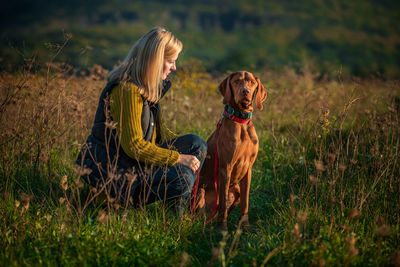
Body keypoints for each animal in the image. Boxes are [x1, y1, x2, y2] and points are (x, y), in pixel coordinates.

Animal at [196, 71, 266, 230]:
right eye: (237, 81)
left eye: (252, 82)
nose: (245, 91)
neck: (241, 121)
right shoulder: (225, 167)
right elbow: (222, 203)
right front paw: (222, 229)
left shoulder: (248, 169)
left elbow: (245, 202)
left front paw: (244, 225)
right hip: (200, 190)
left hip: (236, 189)